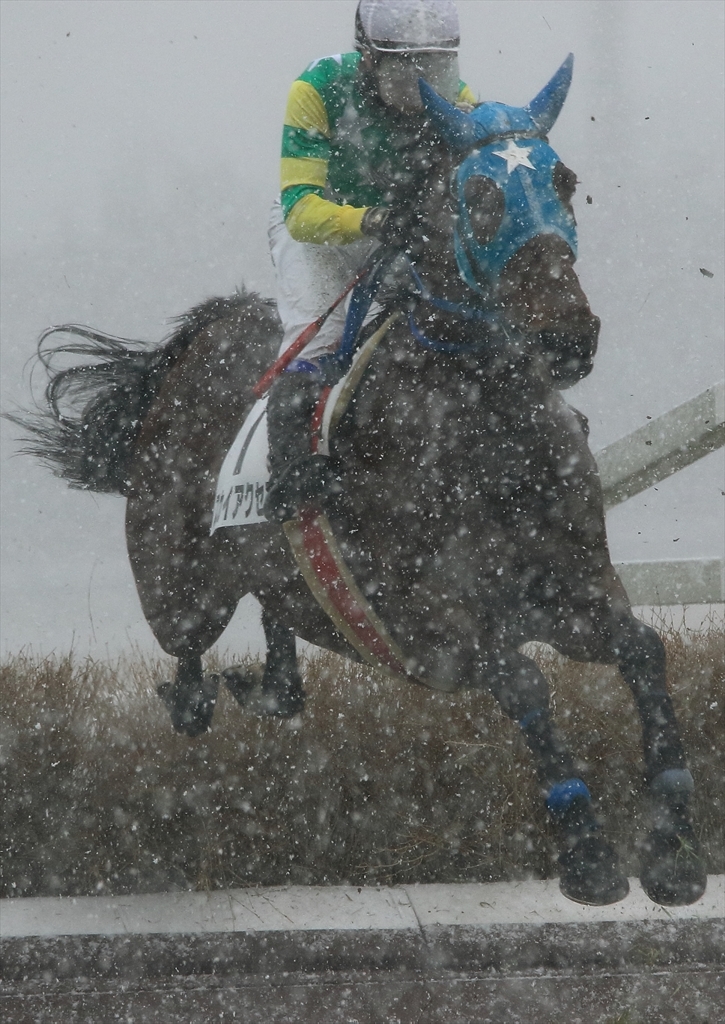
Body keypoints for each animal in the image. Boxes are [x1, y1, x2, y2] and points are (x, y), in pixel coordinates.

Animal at [14, 59, 704, 909]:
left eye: (565, 180)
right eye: (478, 196)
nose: (565, 336)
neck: (480, 426)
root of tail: (199, 341)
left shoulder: (573, 588)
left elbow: (642, 651)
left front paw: (672, 846)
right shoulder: (431, 623)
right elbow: (522, 680)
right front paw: (589, 853)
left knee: (276, 606)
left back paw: (271, 684)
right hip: (174, 585)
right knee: (187, 659)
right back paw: (203, 692)